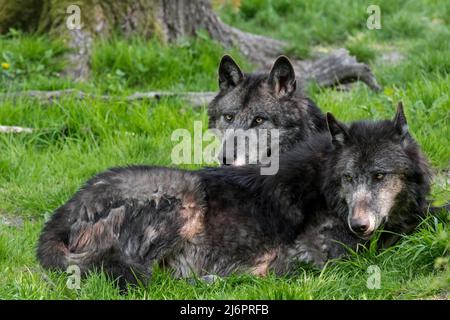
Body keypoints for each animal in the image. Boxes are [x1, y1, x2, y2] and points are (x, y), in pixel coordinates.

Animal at [37, 103, 430, 288]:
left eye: (378, 176)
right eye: (349, 178)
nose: (358, 224)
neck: (324, 186)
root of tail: (66, 208)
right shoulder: (319, 252)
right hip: (185, 196)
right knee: (131, 273)